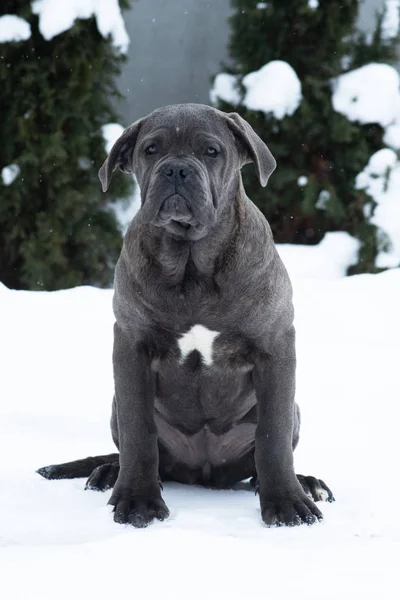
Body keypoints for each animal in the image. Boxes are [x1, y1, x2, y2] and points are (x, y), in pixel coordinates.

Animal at [39, 103, 334, 524]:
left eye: (211, 151)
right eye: (151, 149)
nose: (175, 169)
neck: (192, 262)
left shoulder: (274, 346)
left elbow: (272, 434)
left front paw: (287, 502)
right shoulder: (131, 346)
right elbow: (139, 429)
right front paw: (137, 499)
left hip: (293, 409)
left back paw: (306, 482)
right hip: (115, 407)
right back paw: (109, 472)